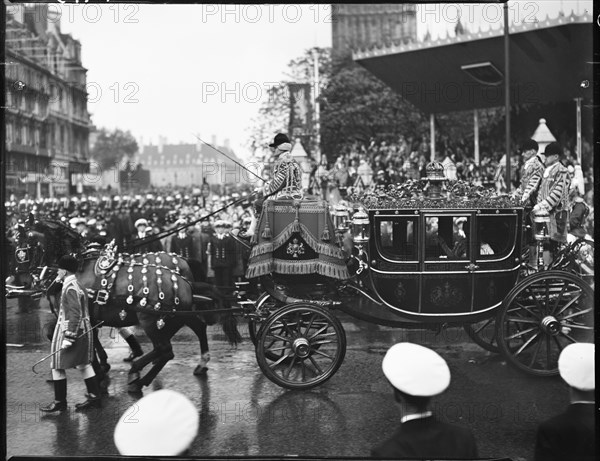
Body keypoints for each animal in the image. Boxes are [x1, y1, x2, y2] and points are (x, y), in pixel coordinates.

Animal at [21, 217, 241, 390]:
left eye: (26, 239)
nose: (27, 273)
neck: (78, 264)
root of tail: (185, 277)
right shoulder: (92, 316)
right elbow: (90, 339)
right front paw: (101, 366)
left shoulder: (81, 313)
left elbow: (69, 336)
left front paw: (98, 368)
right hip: (176, 315)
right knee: (194, 329)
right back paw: (198, 363)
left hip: (151, 319)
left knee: (166, 348)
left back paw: (138, 375)